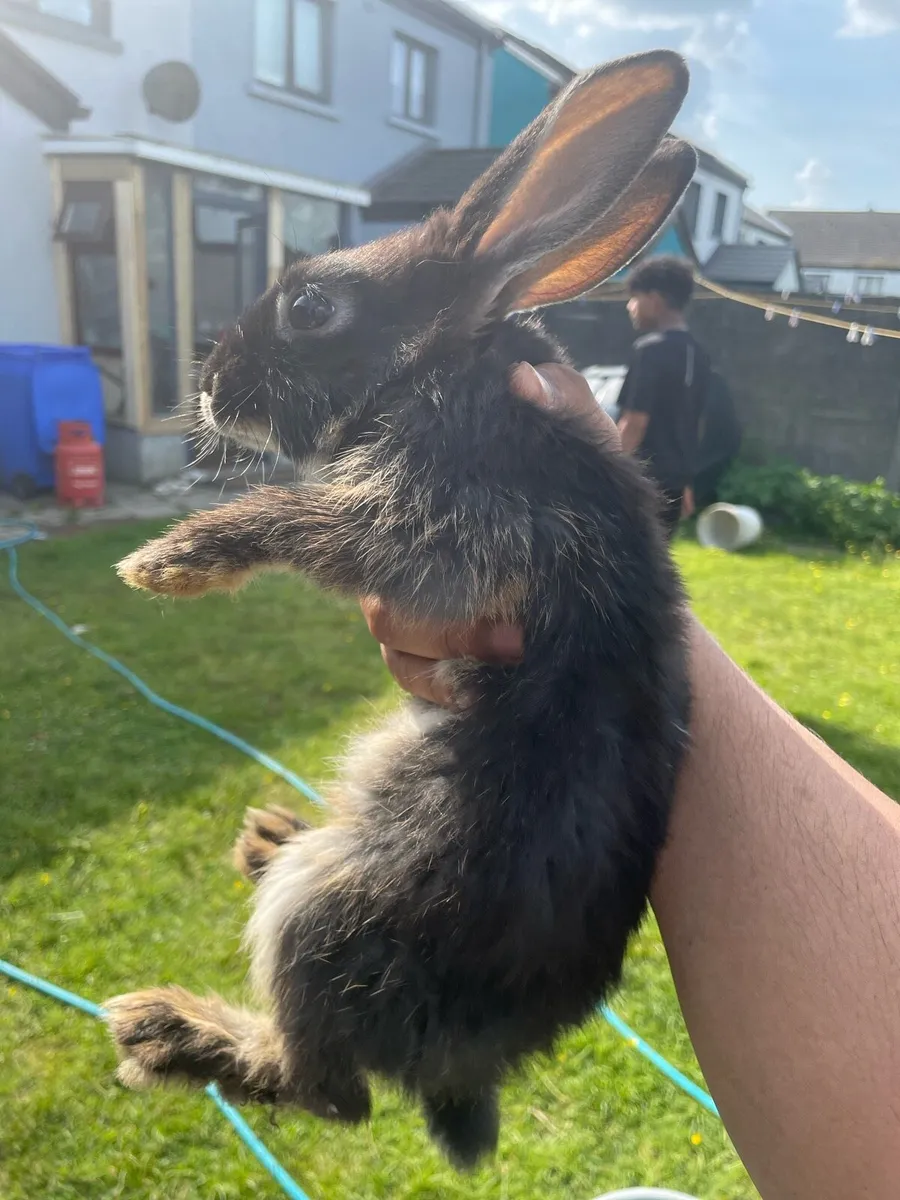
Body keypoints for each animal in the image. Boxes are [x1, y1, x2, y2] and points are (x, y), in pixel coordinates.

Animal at [105, 50, 696, 1170]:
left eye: (311, 307)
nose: (210, 388)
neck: (435, 364)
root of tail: (464, 1075)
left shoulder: (452, 521)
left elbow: (301, 519)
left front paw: (170, 560)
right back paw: (266, 841)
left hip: (327, 918)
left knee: (328, 1093)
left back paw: (170, 1028)